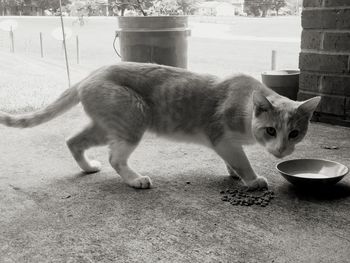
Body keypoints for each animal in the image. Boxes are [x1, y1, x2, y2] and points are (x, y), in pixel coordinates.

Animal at [0, 63, 320, 191]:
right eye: (271, 131)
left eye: (294, 133)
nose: (281, 150)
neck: (244, 104)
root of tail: (92, 73)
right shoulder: (222, 138)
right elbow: (242, 160)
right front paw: (251, 179)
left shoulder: (228, 144)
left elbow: (233, 160)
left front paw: (233, 173)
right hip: (133, 118)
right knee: (115, 158)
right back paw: (135, 179)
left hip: (108, 126)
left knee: (73, 140)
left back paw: (88, 167)